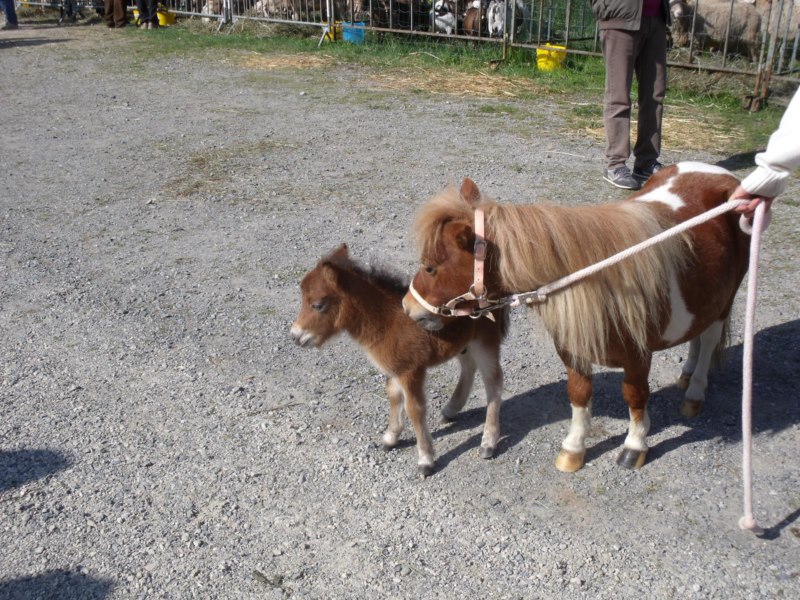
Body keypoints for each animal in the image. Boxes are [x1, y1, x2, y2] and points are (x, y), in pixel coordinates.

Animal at [290, 246, 510, 476]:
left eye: (317, 304)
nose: (295, 336)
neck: (387, 322)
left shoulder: (411, 371)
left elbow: (415, 409)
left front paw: (425, 460)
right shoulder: (395, 369)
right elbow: (394, 396)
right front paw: (390, 438)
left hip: (485, 342)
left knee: (493, 382)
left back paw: (488, 442)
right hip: (465, 344)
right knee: (469, 367)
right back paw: (451, 410)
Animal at [406, 164, 752, 474]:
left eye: (431, 267)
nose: (408, 308)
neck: (601, 282)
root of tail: (723, 175)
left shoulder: (639, 356)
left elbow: (635, 396)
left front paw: (634, 446)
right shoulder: (573, 349)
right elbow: (579, 393)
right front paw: (573, 449)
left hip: (725, 301)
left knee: (709, 341)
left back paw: (694, 392)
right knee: (697, 335)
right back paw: (686, 373)